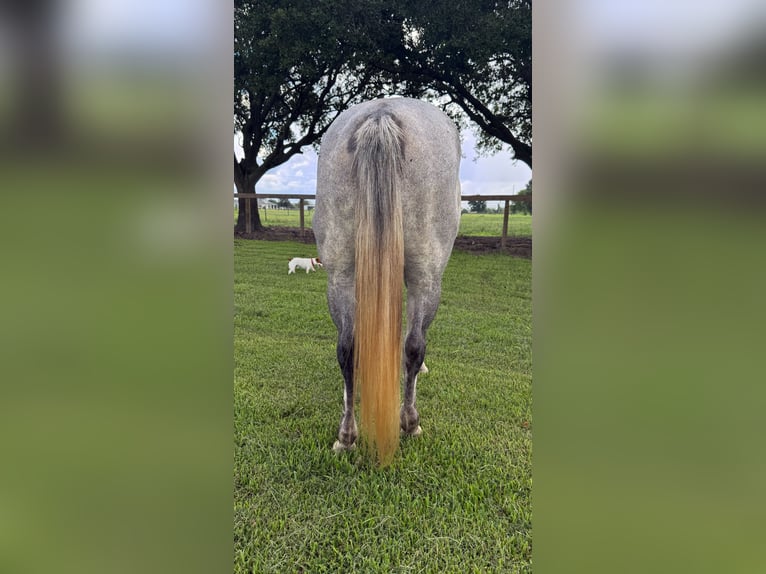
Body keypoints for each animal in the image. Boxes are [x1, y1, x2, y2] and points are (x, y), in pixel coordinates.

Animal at [313, 97, 461, 466]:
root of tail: (381, 115)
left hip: (340, 274)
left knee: (348, 347)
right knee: (414, 345)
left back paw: (346, 437)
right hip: (426, 275)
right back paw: (409, 423)